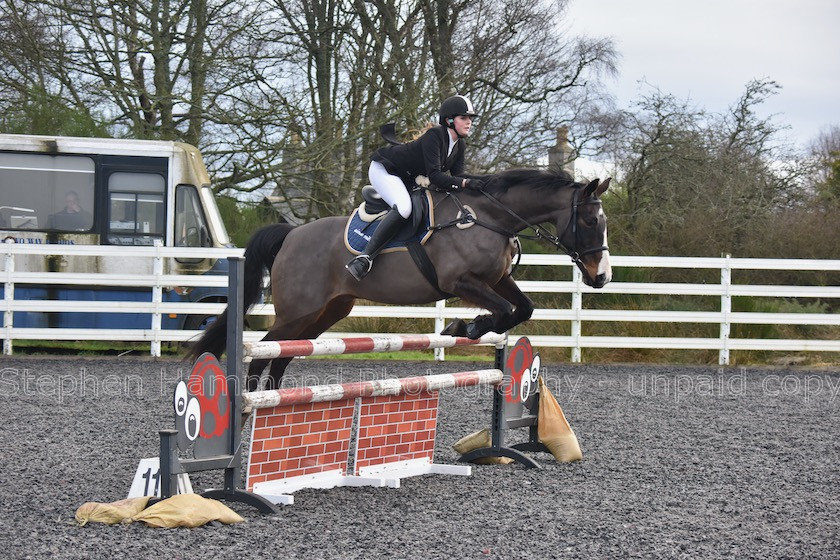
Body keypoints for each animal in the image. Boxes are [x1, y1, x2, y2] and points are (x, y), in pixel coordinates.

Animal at [189, 168, 612, 392]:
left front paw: (469, 327)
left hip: (326, 313)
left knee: (282, 358)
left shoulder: (497, 279)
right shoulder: (460, 281)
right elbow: (505, 310)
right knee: (263, 354)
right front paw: (468, 326)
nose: (601, 277)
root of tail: (291, 234)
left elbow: (522, 308)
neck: (491, 218)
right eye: (592, 221)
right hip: (296, 313)